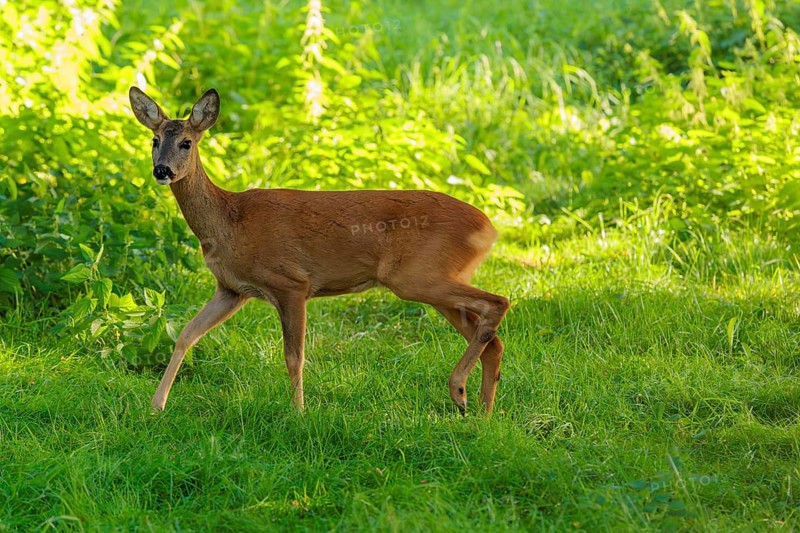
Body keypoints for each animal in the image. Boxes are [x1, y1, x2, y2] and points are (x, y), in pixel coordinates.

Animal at [128, 86, 509, 414]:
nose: (161, 170)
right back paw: (481, 413)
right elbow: (185, 335)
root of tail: (488, 228)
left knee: (498, 302)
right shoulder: (232, 289)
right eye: (155, 140)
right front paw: (156, 405)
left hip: (416, 276)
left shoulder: (291, 282)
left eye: (186, 142)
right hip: (432, 279)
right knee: (493, 339)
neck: (230, 221)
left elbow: (294, 356)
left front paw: (298, 411)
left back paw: (458, 390)